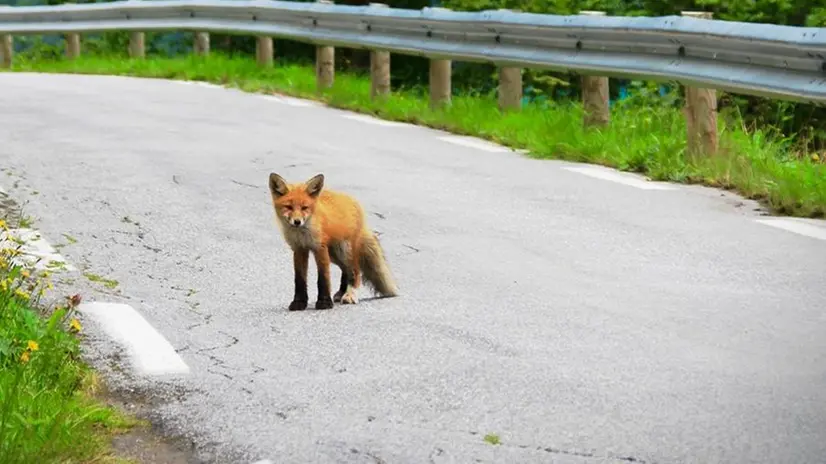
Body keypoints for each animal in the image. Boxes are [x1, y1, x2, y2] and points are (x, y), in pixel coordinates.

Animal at [268, 172, 398, 310]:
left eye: (304, 208)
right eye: (288, 207)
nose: (297, 222)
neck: (303, 234)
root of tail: (354, 201)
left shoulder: (320, 248)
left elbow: (323, 278)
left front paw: (324, 302)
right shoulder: (299, 249)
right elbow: (299, 279)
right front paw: (299, 302)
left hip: (344, 251)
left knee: (355, 271)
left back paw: (350, 295)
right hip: (334, 255)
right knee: (345, 270)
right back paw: (342, 292)